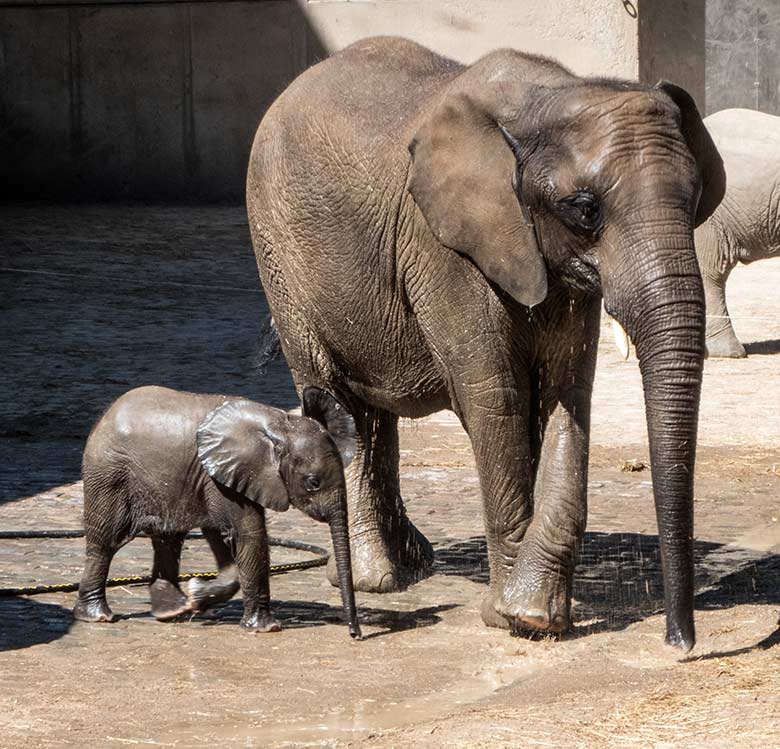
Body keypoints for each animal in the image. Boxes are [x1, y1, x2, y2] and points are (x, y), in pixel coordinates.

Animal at [73, 386, 362, 636]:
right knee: (106, 542)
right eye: (313, 483)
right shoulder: (219, 478)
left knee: (167, 540)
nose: (355, 634)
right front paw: (266, 628)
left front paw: (198, 597)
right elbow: (248, 534)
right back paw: (99, 616)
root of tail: (105, 417)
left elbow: (219, 533)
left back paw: (172, 611)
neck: (279, 423)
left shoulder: (217, 476)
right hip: (109, 474)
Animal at [245, 36, 724, 648]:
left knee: (369, 411)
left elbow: (566, 398)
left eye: (695, 197)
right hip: (279, 252)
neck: (546, 98)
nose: (679, 642)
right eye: (584, 209)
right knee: (330, 395)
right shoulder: (448, 249)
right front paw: (517, 618)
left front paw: (537, 616)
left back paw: (411, 567)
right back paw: (378, 579)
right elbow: (498, 400)